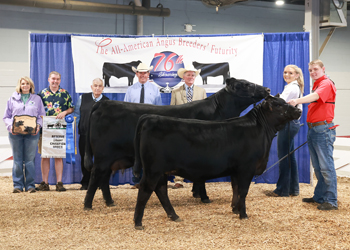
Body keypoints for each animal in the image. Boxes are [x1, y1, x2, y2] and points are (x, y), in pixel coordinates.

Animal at [83, 77, 270, 209]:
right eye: (245, 84)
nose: (267, 89)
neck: (219, 111)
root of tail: (103, 103)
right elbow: (202, 177)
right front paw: (204, 197)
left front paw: (196, 194)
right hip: (103, 155)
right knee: (96, 176)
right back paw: (88, 204)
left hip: (109, 158)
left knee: (104, 178)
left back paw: (109, 202)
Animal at [133, 94, 302, 229]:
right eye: (278, 105)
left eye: (285, 101)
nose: (299, 111)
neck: (261, 130)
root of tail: (149, 117)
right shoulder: (247, 168)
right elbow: (243, 191)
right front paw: (243, 214)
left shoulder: (236, 170)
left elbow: (235, 189)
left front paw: (235, 209)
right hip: (153, 169)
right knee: (146, 189)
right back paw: (138, 222)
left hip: (161, 171)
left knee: (161, 190)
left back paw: (174, 216)